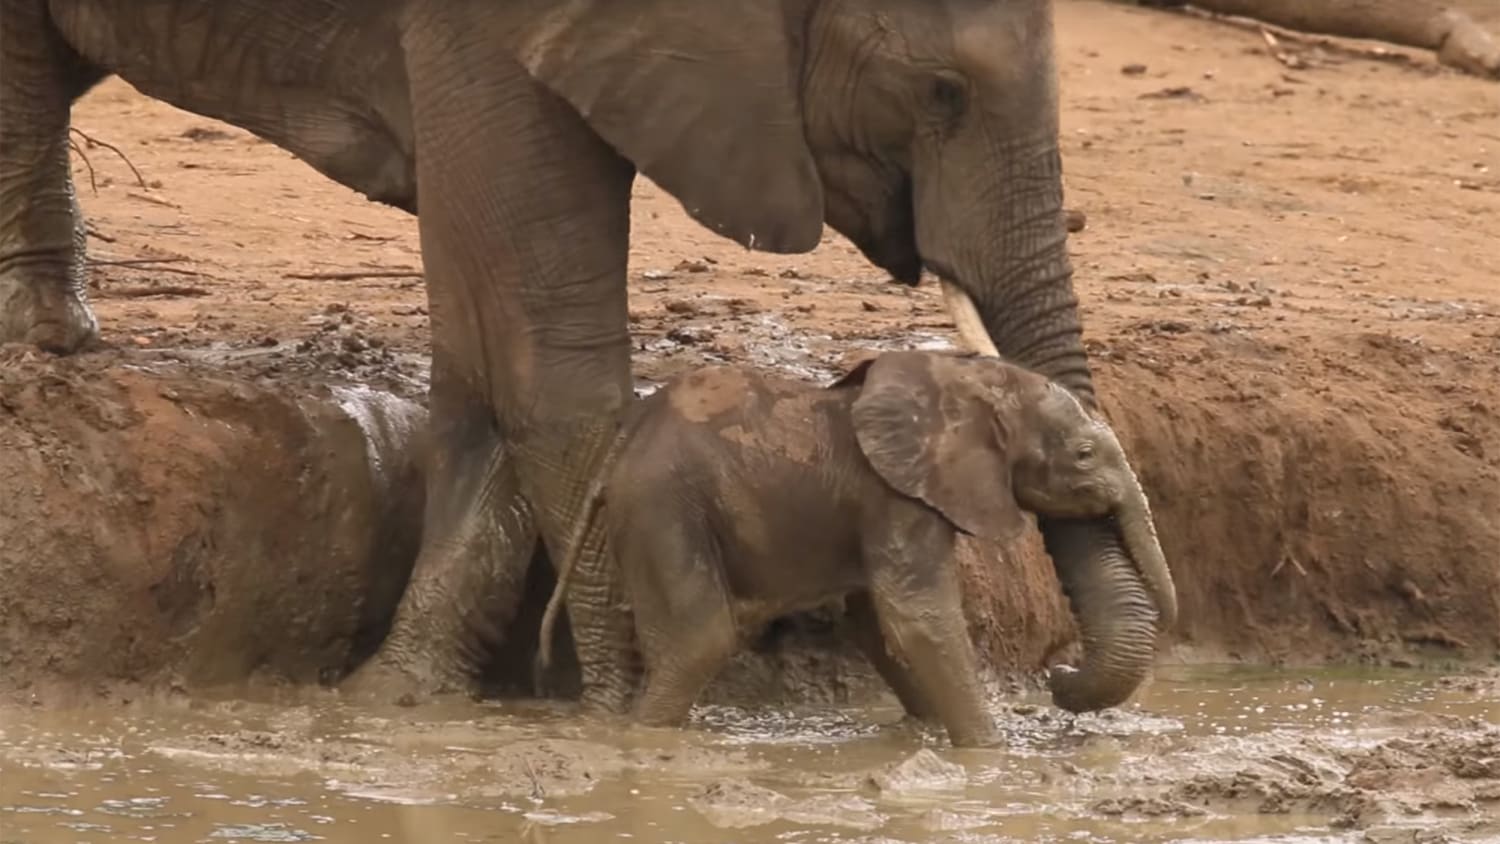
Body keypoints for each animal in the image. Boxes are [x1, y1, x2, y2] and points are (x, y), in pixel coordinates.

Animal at [537, 350, 1170, 746]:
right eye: (1083, 456)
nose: (1058, 673)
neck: (961, 380)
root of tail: (620, 449)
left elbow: (879, 626)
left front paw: (926, 731)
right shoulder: (896, 499)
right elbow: (919, 619)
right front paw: (990, 752)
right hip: (665, 508)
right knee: (701, 639)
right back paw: (645, 739)